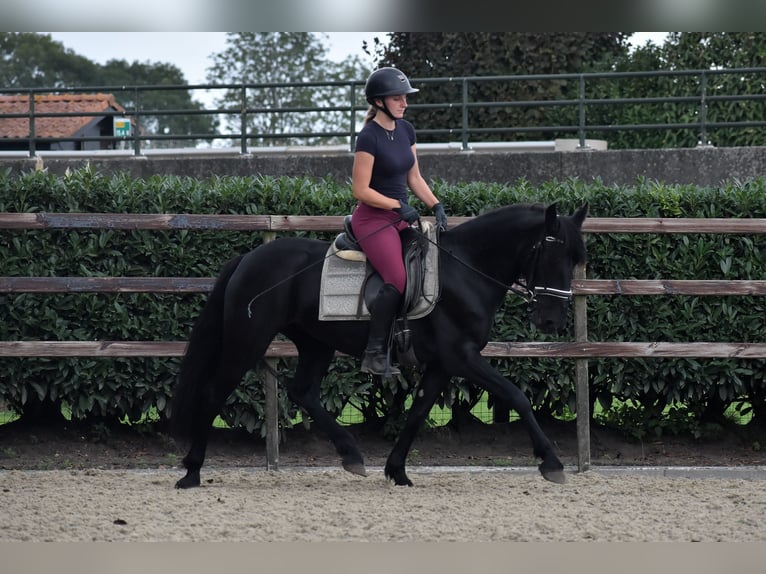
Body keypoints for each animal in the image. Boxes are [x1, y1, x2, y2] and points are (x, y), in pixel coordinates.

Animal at [171, 202, 592, 490]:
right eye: (552, 252)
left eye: (576, 257)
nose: (552, 321)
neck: (464, 270)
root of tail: (248, 258)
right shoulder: (463, 357)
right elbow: (516, 396)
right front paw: (551, 462)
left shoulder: (442, 364)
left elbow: (418, 412)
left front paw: (397, 470)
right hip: (248, 340)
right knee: (213, 392)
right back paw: (192, 471)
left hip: (316, 343)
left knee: (303, 391)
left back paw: (352, 455)